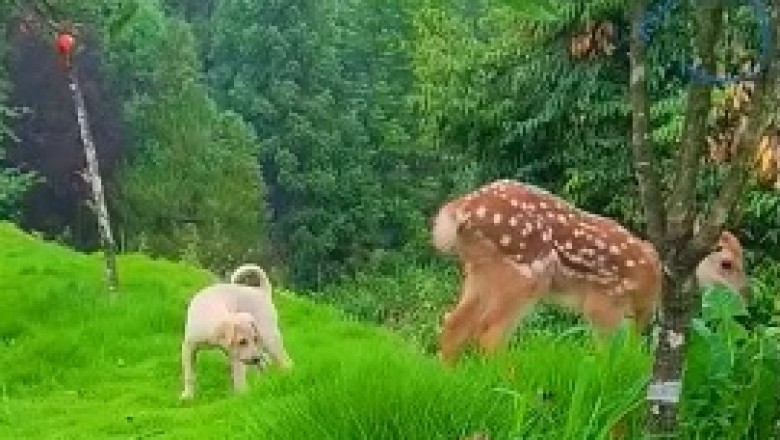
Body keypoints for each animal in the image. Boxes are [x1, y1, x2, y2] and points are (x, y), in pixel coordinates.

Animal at [431, 179, 749, 365]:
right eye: (727, 263)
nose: (745, 295)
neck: (655, 274)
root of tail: (460, 210)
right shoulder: (604, 301)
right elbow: (606, 352)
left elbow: (630, 349)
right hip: (525, 275)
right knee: (489, 335)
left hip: (479, 271)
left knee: (454, 323)